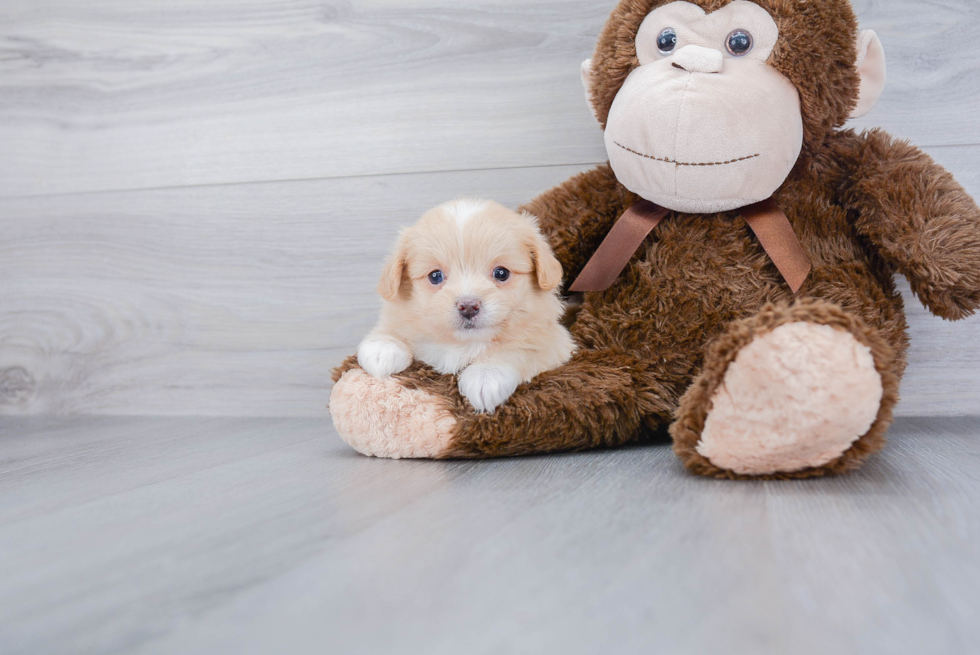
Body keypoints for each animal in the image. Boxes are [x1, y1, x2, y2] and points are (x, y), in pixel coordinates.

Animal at [358, 201, 576, 416]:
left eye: (501, 273)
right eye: (435, 276)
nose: (469, 306)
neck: (463, 343)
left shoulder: (555, 343)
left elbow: (520, 348)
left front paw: (486, 375)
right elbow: (394, 327)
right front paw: (385, 347)